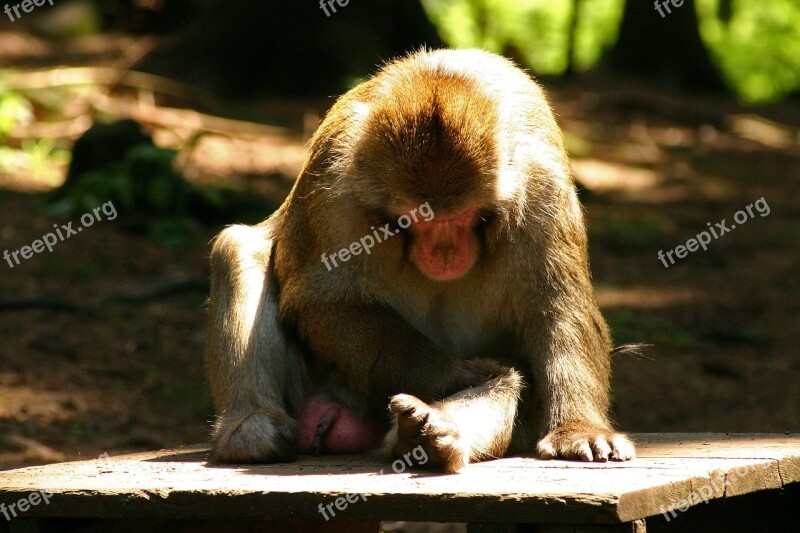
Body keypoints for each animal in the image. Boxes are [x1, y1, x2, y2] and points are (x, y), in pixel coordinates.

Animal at [206, 47, 636, 472]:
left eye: (462, 216)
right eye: (415, 218)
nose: (444, 253)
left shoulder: (540, 184)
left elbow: (558, 307)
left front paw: (578, 429)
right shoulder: (334, 185)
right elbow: (323, 301)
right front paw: (461, 373)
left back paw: (431, 434)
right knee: (239, 249)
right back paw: (250, 431)